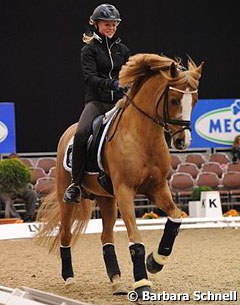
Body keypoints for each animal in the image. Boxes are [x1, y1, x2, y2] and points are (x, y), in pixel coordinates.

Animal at [37, 52, 202, 296]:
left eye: (196, 100)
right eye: (173, 100)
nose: (183, 141)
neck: (142, 137)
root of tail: (69, 132)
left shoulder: (157, 188)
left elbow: (175, 219)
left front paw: (155, 262)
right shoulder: (125, 191)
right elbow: (135, 240)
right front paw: (142, 284)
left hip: (107, 199)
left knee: (106, 237)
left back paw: (116, 280)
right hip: (68, 199)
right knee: (66, 235)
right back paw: (69, 278)